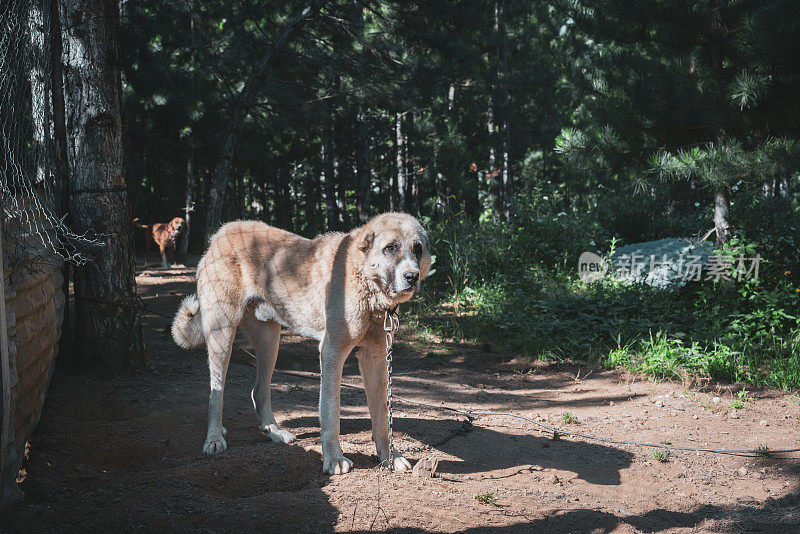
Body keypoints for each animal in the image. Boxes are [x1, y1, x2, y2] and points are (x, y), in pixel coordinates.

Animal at [170, 211, 432, 476]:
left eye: (417, 249)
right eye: (390, 248)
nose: (412, 276)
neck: (362, 278)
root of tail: (220, 234)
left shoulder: (375, 357)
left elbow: (382, 417)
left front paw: (389, 457)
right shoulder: (331, 352)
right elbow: (331, 412)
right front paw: (334, 459)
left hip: (269, 342)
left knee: (259, 391)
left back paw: (274, 432)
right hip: (222, 335)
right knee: (216, 393)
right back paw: (214, 439)